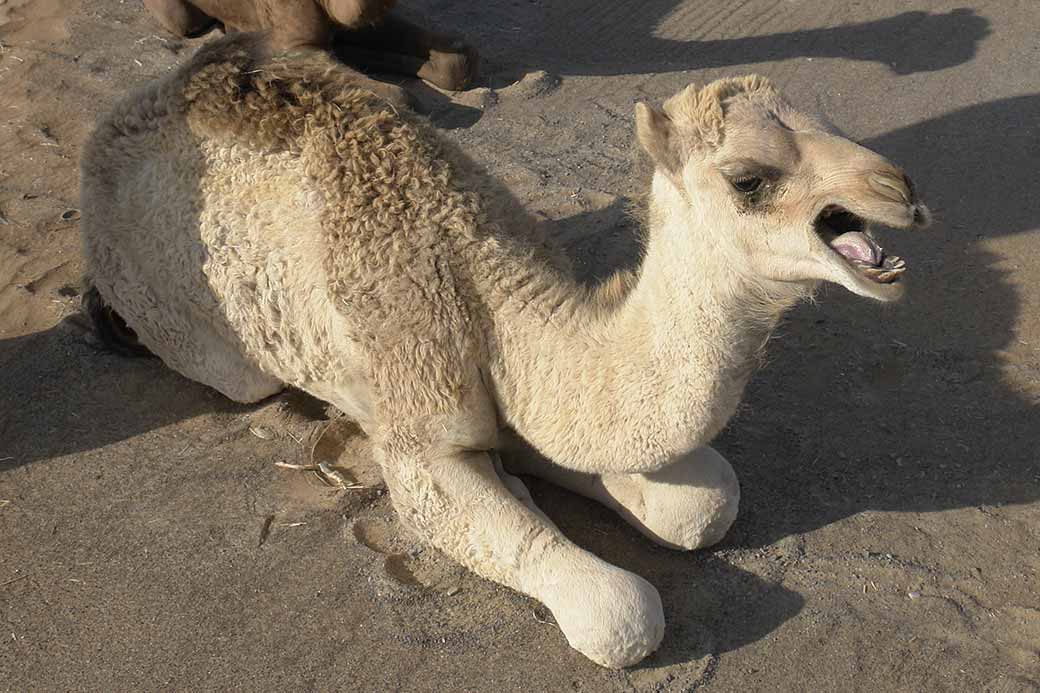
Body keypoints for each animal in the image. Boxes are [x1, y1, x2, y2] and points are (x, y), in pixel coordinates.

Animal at [79, 34, 930, 668]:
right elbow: (620, 611)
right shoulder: (422, 430)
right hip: (200, 338)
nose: (901, 189)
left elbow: (700, 502)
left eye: (824, 119)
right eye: (748, 177)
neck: (496, 304)